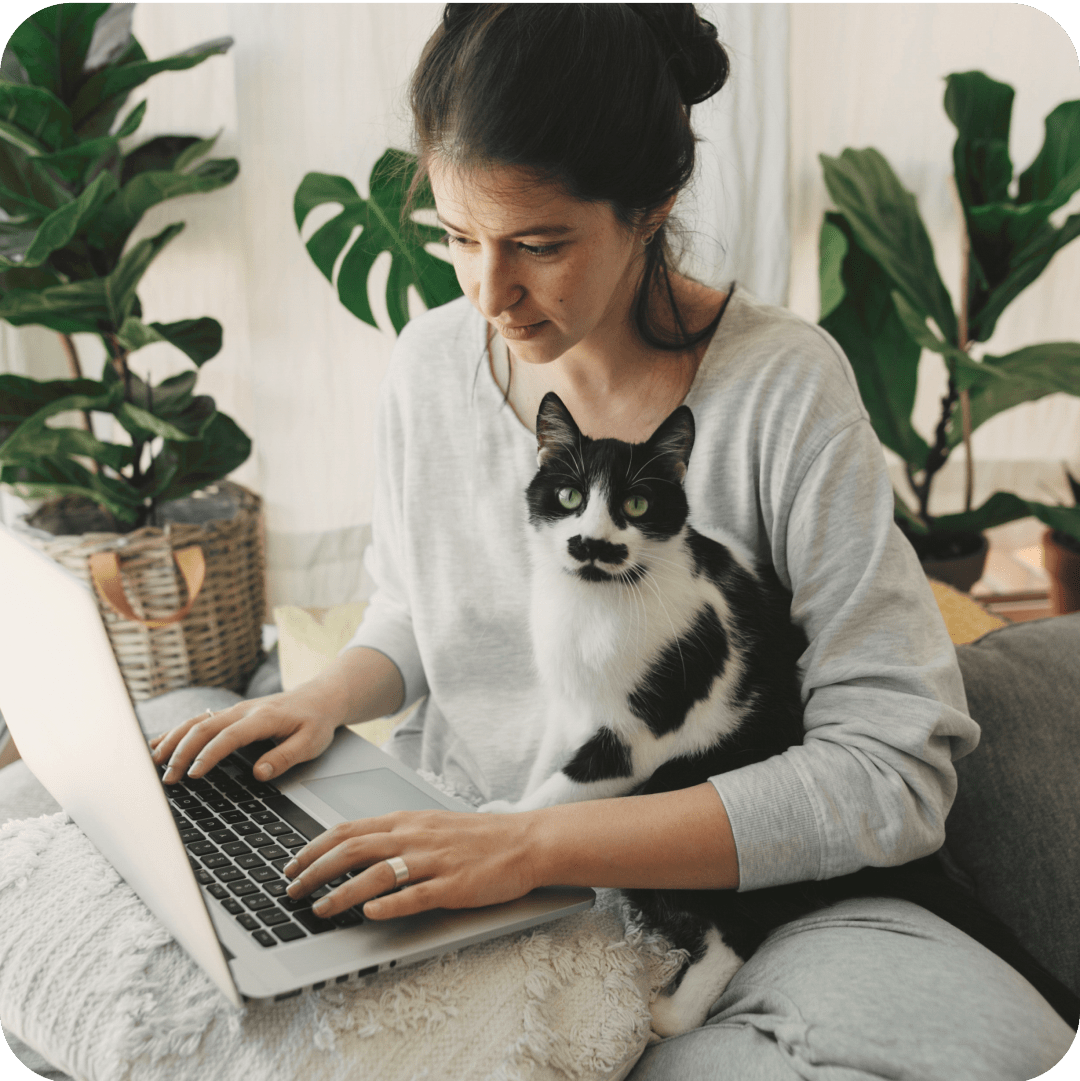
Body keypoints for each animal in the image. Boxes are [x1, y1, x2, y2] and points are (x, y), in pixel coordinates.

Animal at [484, 391, 1080, 1037]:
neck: (596, 603)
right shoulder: (570, 707)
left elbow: (565, 792)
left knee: (738, 931)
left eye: (636, 505)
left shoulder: (643, 731)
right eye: (569, 497)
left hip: (673, 801)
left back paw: (672, 1012)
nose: (591, 543)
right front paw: (506, 801)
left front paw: (496, 825)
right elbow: (549, 764)